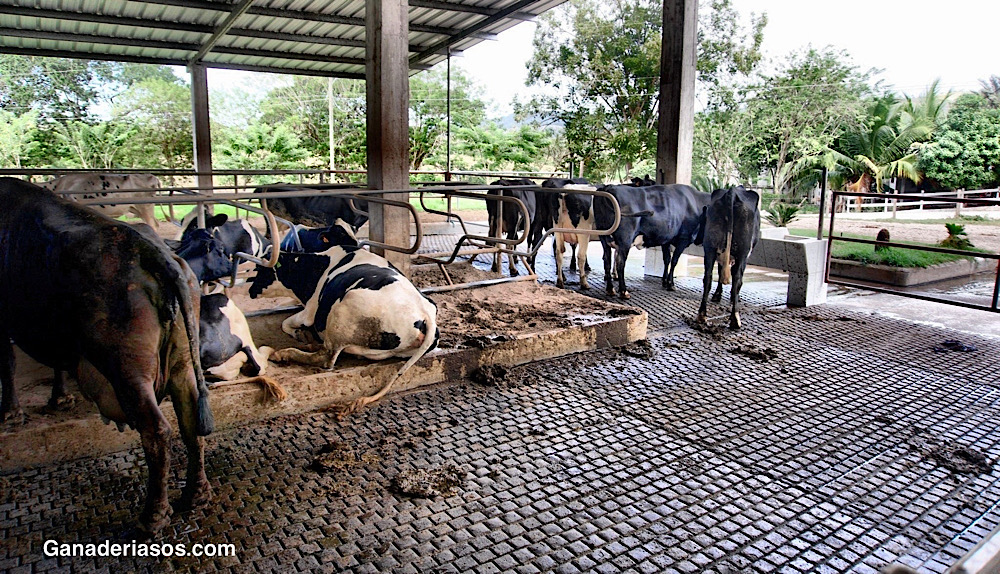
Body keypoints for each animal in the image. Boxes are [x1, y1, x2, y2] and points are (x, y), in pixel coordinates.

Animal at [0, 177, 213, 536]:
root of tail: (149, 251)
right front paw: (59, 398)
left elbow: (9, 364)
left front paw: (12, 413)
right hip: (182, 359)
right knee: (189, 418)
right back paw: (194, 495)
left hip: (127, 368)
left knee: (157, 431)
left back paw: (152, 516)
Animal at [248, 223, 436, 416]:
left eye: (260, 270)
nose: (250, 290)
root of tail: (425, 314)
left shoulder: (310, 311)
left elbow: (285, 323)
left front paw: (300, 334)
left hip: (342, 314)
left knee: (326, 358)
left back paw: (284, 353)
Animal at [700, 187, 760, 330]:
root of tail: (732, 192)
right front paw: (732, 296)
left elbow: (720, 271)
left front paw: (717, 295)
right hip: (742, 252)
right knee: (737, 277)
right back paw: (735, 319)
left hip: (709, 247)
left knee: (708, 277)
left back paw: (702, 316)